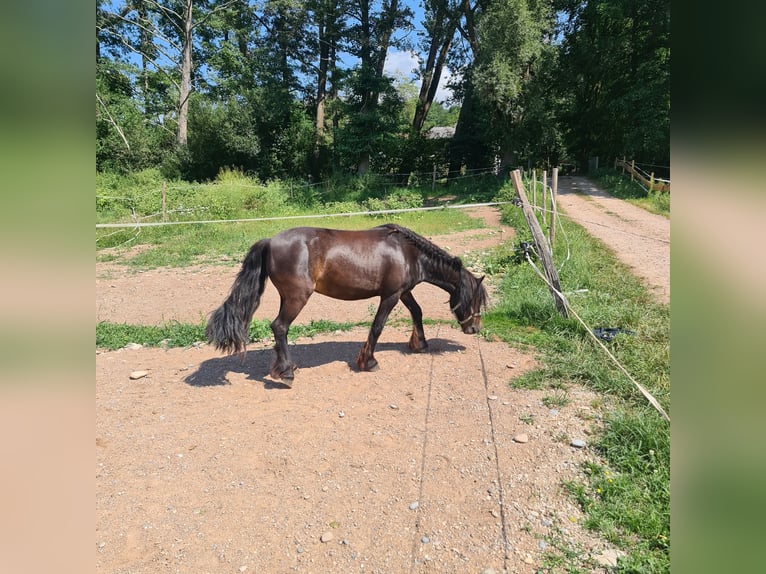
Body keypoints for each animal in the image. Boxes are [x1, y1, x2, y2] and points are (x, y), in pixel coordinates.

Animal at [207, 223, 488, 384]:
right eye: (475, 299)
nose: (474, 328)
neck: (408, 252)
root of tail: (269, 241)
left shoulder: (404, 292)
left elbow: (417, 312)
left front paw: (420, 344)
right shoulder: (390, 295)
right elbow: (377, 326)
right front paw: (369, 361)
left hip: (287, 297)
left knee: (279, 330)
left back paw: (283, 366)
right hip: (298, 297)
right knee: (279, 327)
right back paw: (286, 373)